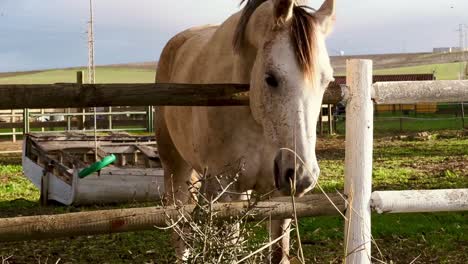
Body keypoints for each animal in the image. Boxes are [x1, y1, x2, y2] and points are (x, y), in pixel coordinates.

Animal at [157, 0, 336, 262]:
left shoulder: (279, 197)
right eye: (271, 78)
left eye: (326, 81)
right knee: (179, 227)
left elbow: (278, 252)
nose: (302, 176)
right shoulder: (223, 191)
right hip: (175, 169)